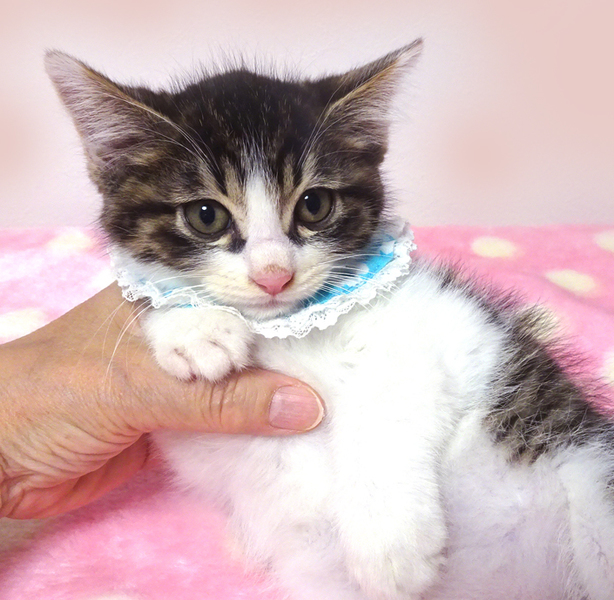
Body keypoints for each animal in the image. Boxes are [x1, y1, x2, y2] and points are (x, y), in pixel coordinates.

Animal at [44, 41, 614, 600]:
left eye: (313, 205)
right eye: (207, 215)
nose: (273, 275)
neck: (289, 329)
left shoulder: (448, 328)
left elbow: (386, 402)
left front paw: (390, 547)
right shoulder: (201, 441)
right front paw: (193, 328)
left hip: (592, 484)